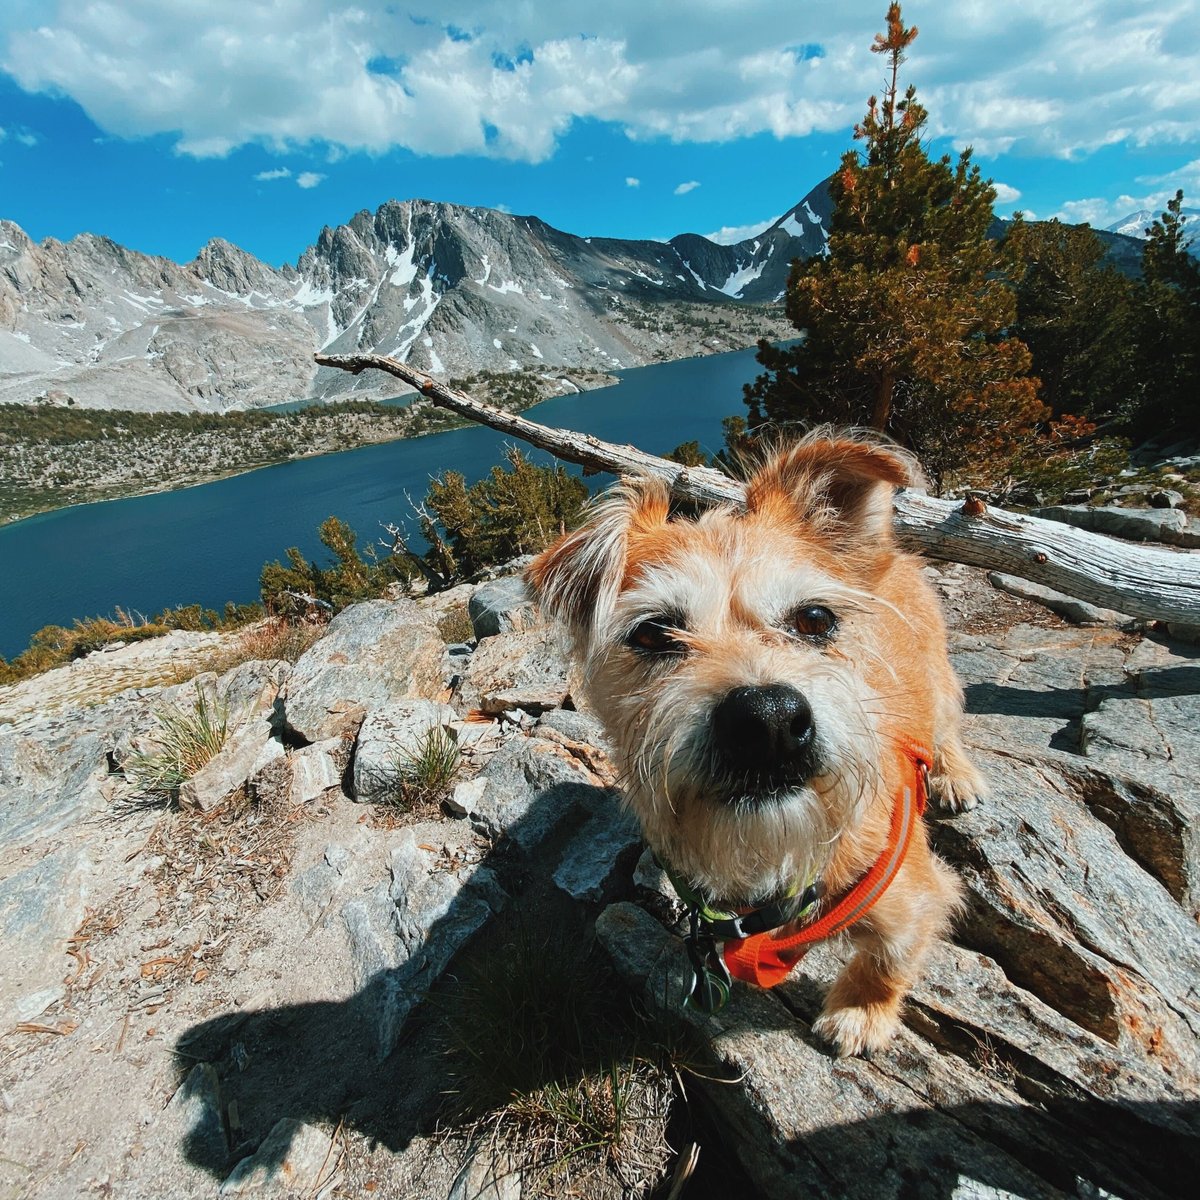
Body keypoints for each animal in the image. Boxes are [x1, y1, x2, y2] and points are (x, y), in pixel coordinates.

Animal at [528, 436, 984, 1056]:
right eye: (652, 633)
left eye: (814, 618)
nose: (768, 721)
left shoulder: (916, 892)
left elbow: (889, 955)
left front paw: (861, 1011)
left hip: (936, 675)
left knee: (947, 723)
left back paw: (954, 774)